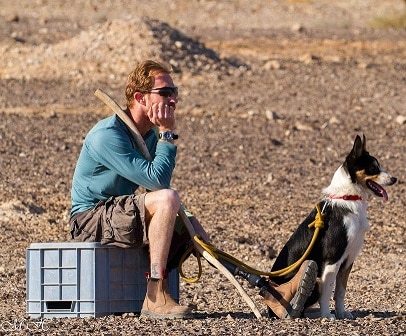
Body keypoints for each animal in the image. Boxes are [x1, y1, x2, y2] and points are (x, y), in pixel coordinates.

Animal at [270, 135, 396, 318]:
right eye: (373, 168)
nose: (395, 179)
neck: (349, 198)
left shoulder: (348, 259)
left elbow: (340, 291)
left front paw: (341, 313)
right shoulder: (333, 260)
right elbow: (328, 291)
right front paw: (327, 315)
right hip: (314, 278)